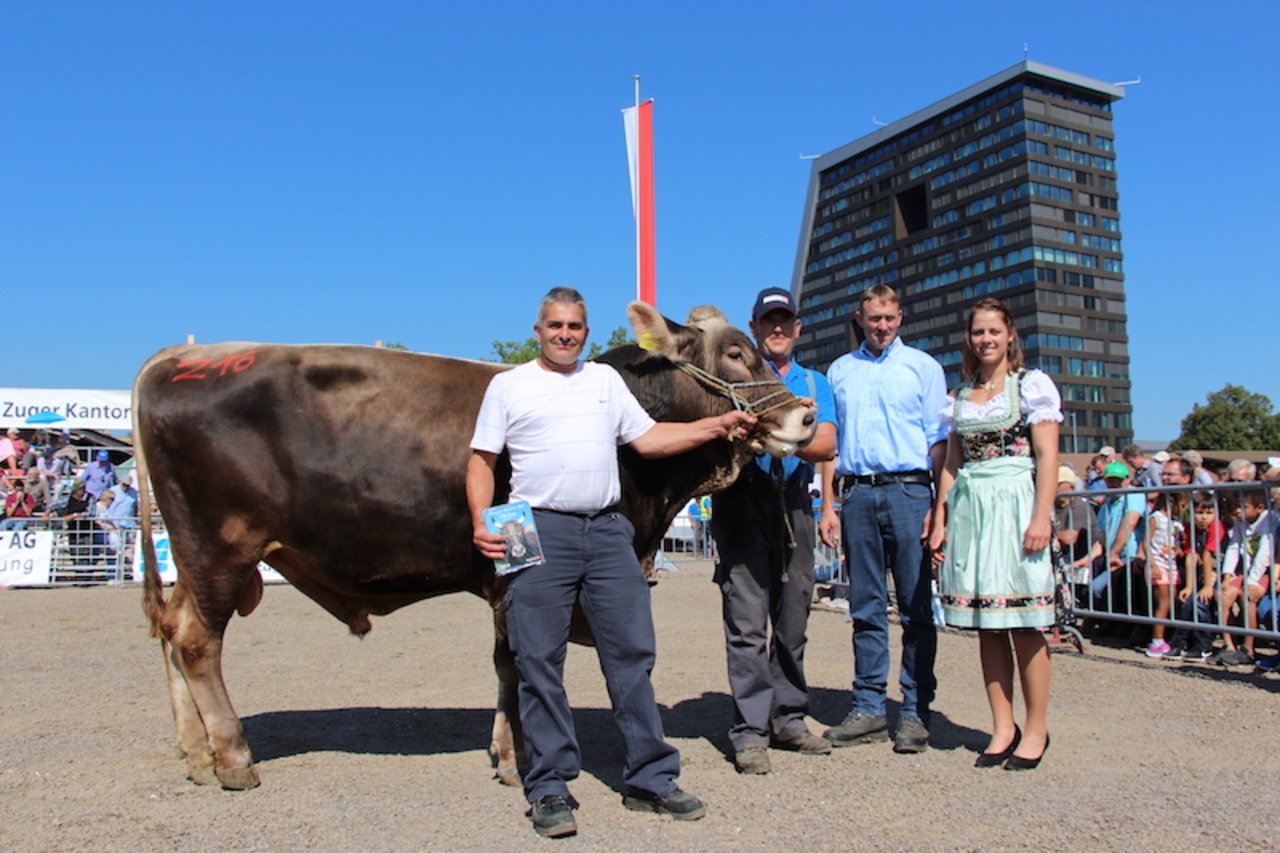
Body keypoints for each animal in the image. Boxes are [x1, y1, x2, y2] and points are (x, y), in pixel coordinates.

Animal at [135, 298, 814, 783]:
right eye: (735, 352)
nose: (806, 416)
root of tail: (174, 359)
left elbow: (515, 663)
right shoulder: (514, 578)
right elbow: (516, 661)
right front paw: (517, 756)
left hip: (194, 560)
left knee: (170, 631)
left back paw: (196, 752)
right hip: (219, 548)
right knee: (196, 642)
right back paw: (233, 756)